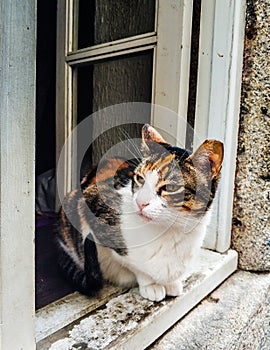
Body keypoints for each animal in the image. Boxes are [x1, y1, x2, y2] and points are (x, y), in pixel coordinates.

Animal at [58, 124, 224, 302]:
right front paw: (151, 285)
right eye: (139, 178)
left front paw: (171, 283)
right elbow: (135, 265)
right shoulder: (92, 202)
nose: (140, 202)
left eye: (171, 187)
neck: (169, 231)